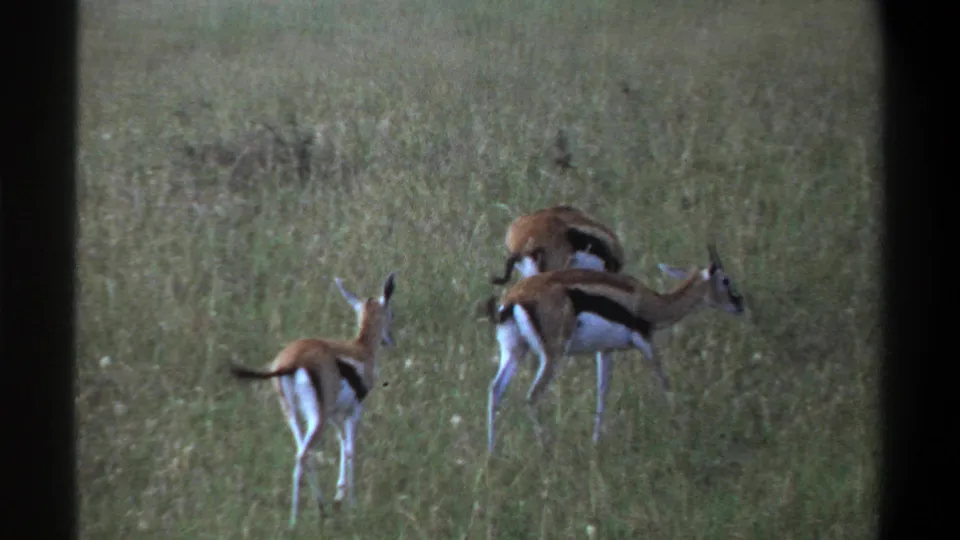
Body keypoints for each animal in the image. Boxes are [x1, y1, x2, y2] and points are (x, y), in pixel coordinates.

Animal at [228, 272, 396, 528]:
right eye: (390, 313)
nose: (389, 340)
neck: (361, 349)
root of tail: (292, 360)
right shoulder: (354, 410)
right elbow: (350, 450)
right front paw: (352, 504)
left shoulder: (336, 414)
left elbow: (341, 445)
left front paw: (339, 498)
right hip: (318, 418)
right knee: (302, 455)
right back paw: (294, 522)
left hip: (295, 414)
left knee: (304, 453)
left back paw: (321, 508)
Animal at [483, 245, 744, 453]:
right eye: (726, 280)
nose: (739, 303)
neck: (652, 303)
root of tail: (514, 299)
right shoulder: (645, 342)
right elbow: (663, 380)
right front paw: (680, 427)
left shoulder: (605, 350)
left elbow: (602, 391)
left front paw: (596, 441)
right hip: (552, 356)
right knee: (532, 396)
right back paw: (546, 449)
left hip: (515, 352)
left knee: (496, 390)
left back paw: (492, 453)